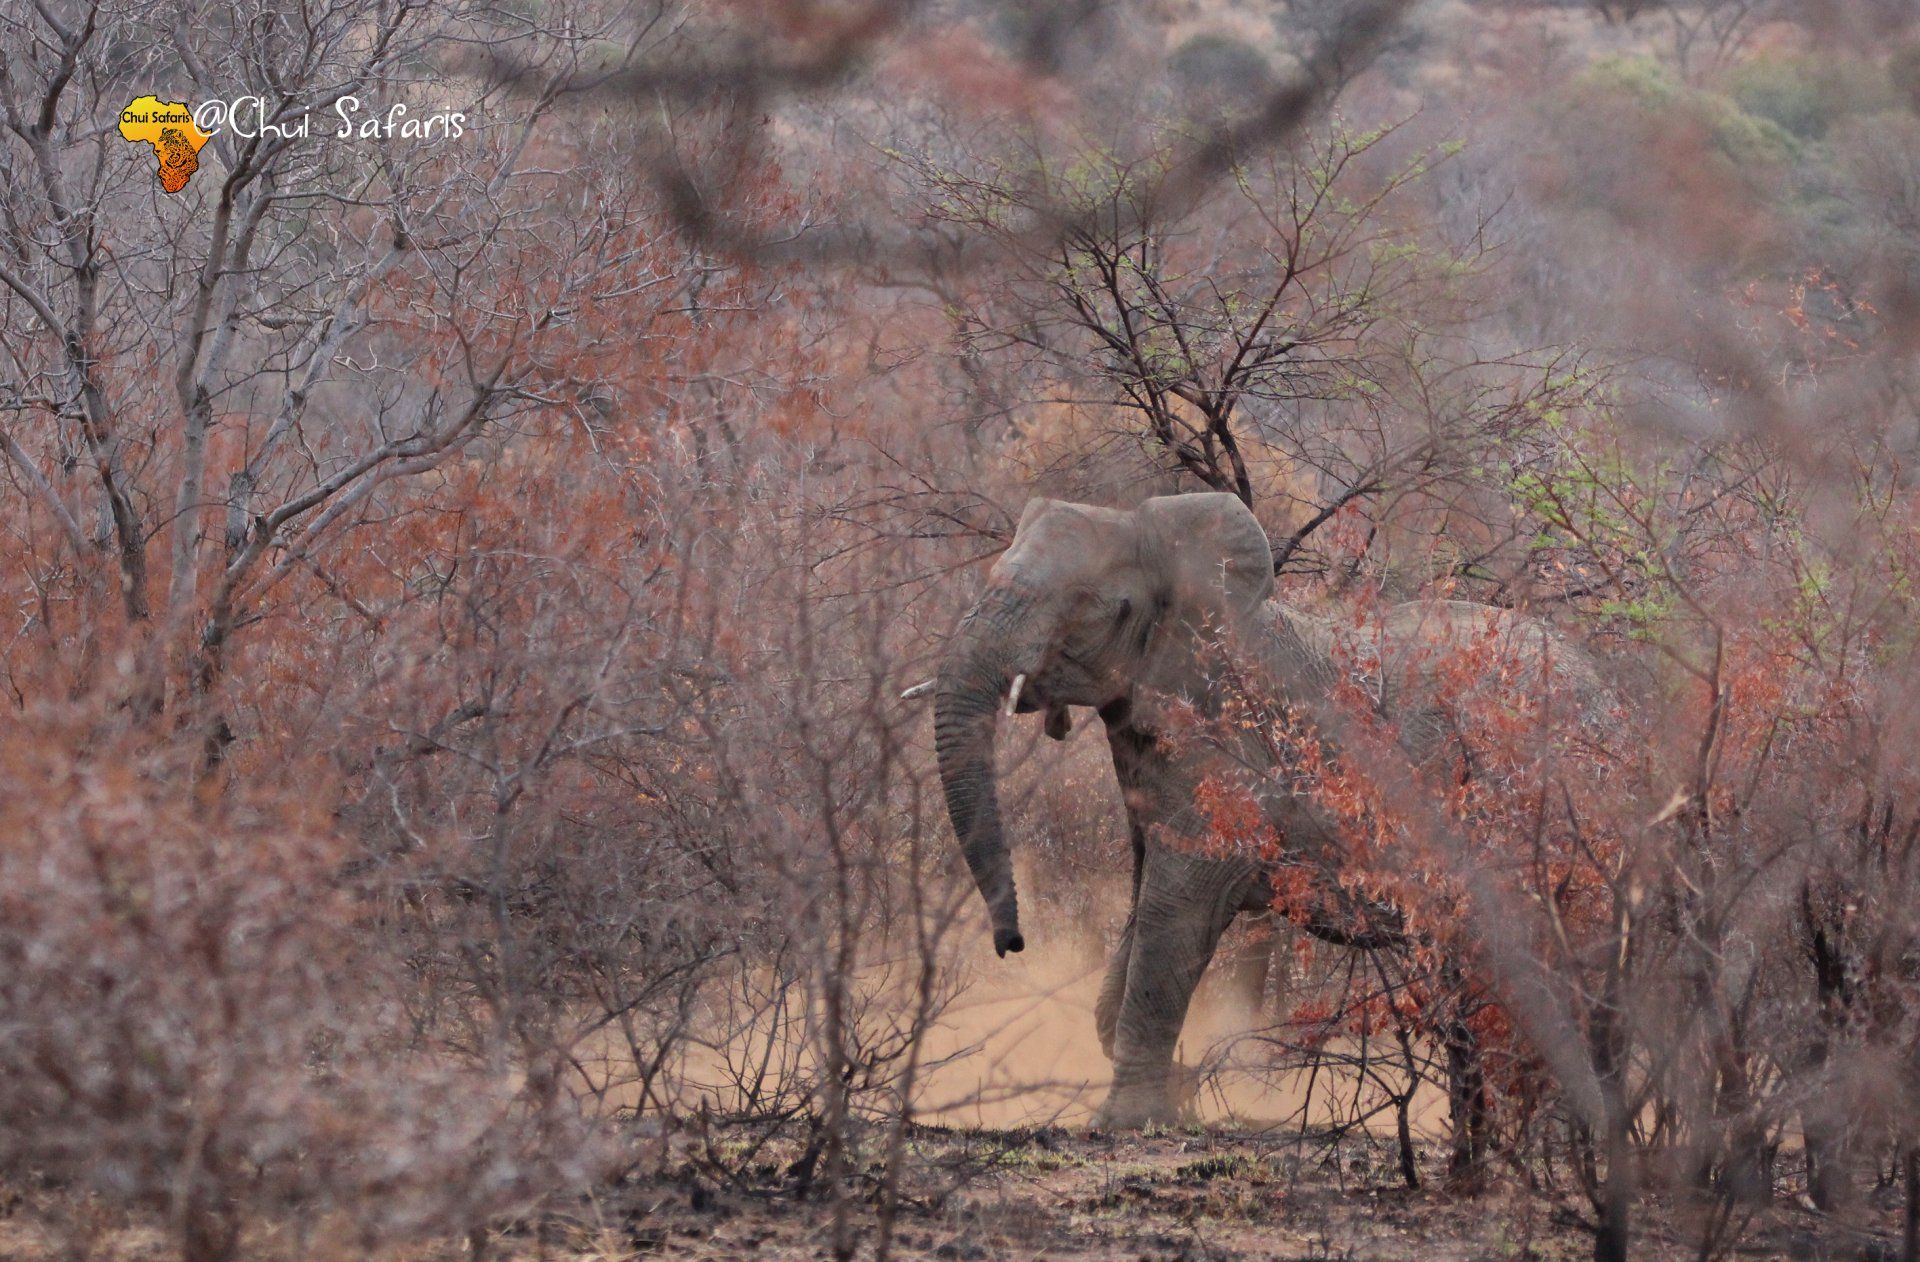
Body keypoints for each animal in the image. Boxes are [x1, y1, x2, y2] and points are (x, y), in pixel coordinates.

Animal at [930, 491, 1607, 1127]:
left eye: (1087, 606)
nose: (1013, 944)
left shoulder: (1226, 739)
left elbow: (1175, 906)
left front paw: (1123, 1122)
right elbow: (1144, 900)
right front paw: (1167, 1097)